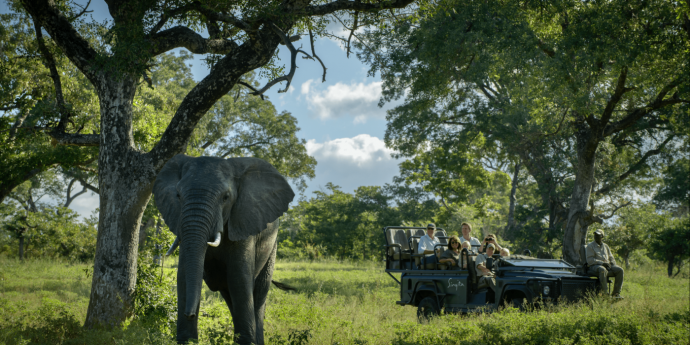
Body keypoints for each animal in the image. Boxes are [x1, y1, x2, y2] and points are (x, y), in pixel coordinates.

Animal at [152, 155, 294, 342]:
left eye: (226, 197)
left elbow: (239, 279)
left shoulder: (243, 223)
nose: (190, 314)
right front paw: (188, 340)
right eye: (178, 195)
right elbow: (183, 276)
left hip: (272, 247)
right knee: (230, 297)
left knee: (258, 295)